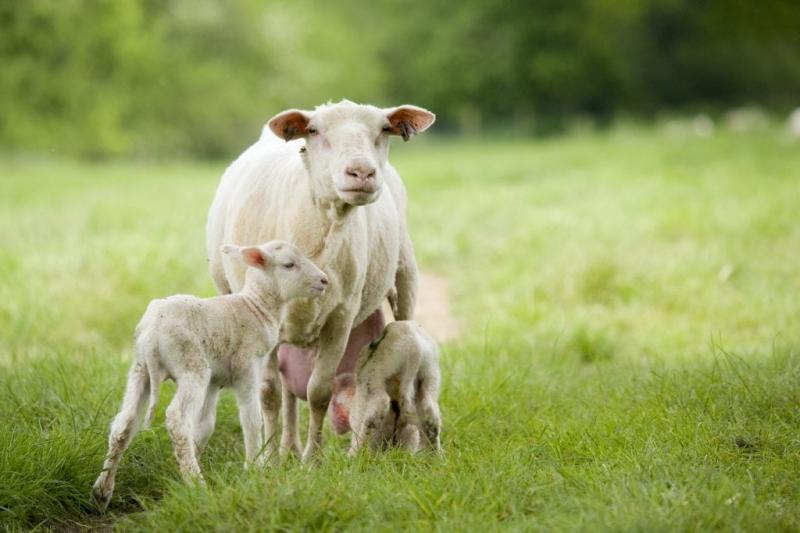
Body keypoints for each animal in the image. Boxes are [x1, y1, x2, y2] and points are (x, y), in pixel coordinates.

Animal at [91, 241, 328, 512]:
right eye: (289, 264)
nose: (324, 280)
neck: (256, 306)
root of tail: (153, 334)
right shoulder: (247, 368)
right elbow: (251, 419)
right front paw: (254, 468)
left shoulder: (215, 381)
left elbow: (205, 425)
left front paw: (187, 462)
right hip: (192, 367)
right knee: (177, 419)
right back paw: (197, 485)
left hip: (141, 369)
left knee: (124, 422)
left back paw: (102, 490)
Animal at [328, 321, 442, 455]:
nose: (335, 428)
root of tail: (413, 343)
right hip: (431, 373)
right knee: (430, 413)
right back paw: (434, 455)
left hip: (374, 374)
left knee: (379, 406)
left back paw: (356, 453)